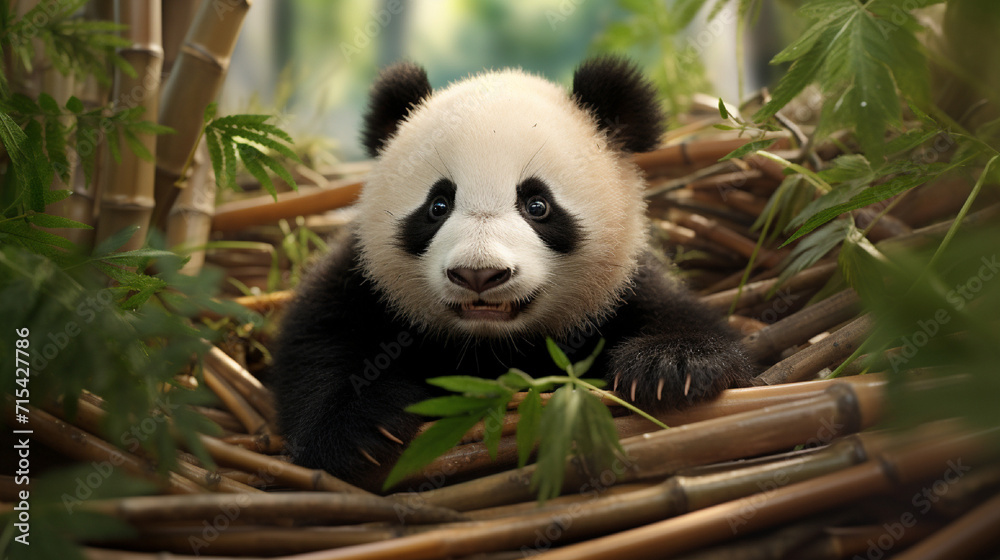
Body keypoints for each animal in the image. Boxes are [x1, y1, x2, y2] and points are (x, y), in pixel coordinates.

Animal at [273, 56, 752, 490]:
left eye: (537, 205)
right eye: (438, 205)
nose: (478, 275)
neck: (491, 346)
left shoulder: (624, 284)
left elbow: (686, 321)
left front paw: (670, 368)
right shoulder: (363, 277)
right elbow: (320, 339)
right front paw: (359, 428)